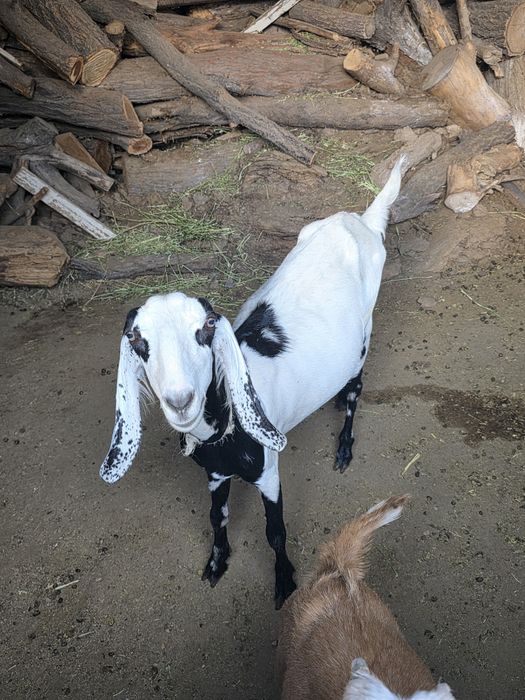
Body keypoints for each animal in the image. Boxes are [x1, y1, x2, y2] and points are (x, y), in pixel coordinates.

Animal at [98, 159, 404, 609]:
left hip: (365, 331)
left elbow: (275, 531)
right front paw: (216, 562)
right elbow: (217, 516)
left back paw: (345, 445)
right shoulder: (214, 474)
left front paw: (284, 583)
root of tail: (361, 221)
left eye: (207, 327)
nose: (180, 400)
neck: (225, 434)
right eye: (136, 339)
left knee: (355, 389)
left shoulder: (270, 471)